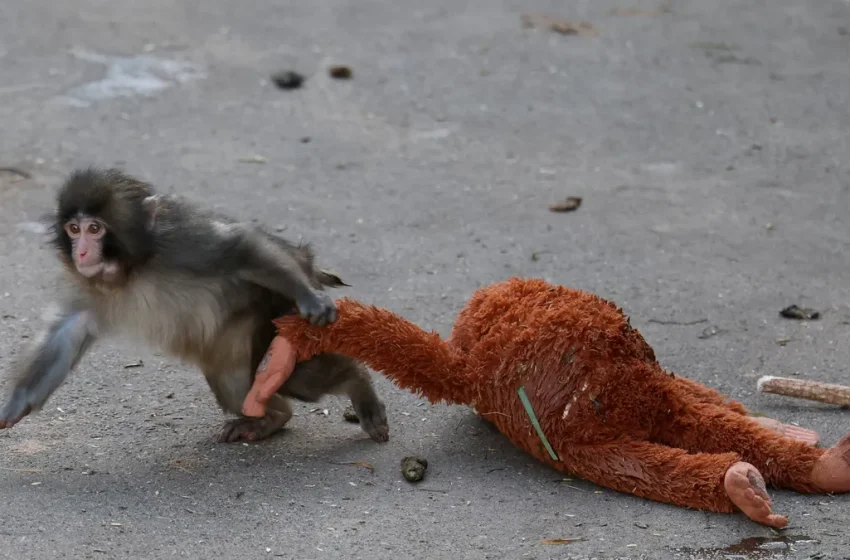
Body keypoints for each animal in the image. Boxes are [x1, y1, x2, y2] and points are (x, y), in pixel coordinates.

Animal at [0, 168, 389, 444]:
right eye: (73, 229)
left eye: (94, 229)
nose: (81, 252)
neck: (131, 270)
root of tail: (307, 261)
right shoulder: (87, 285)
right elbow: (66, 332)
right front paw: (13, 406)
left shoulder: (181, 242)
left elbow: (237, 248)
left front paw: (310, 297)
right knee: (235, 384)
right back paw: (272, 419)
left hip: (277, 310)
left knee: (303, 377)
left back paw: (358, 385)